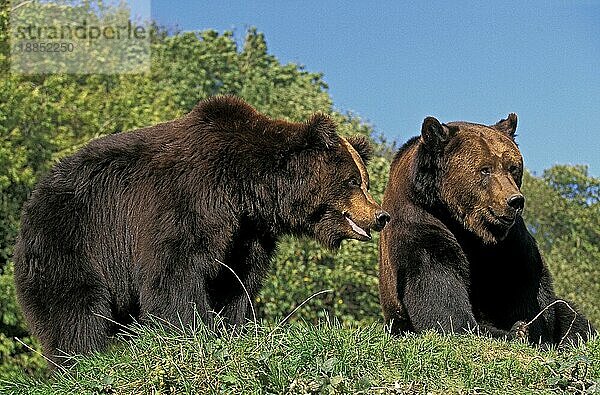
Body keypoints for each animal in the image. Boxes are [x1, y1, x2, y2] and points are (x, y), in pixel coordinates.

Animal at [14, 95, 392, 366]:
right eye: (353, 181)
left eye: (364, 181)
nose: (380, 215)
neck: (246, 187)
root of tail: (34, 199)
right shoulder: (185, 200)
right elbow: (175, 270)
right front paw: (194, 328)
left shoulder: (246, 233)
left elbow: (236, 281)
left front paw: (234, 327)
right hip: (74, 239)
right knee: (75, 308)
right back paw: (81, 358)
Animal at [380, 113, 596, 346]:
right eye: (486, 169)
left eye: (512, 167)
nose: (515, 201)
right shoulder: (421, 226)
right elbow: (445, 310)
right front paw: (517, 331)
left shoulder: (510, 239)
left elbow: (529, 290)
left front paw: (531, 329)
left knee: (570, 314)